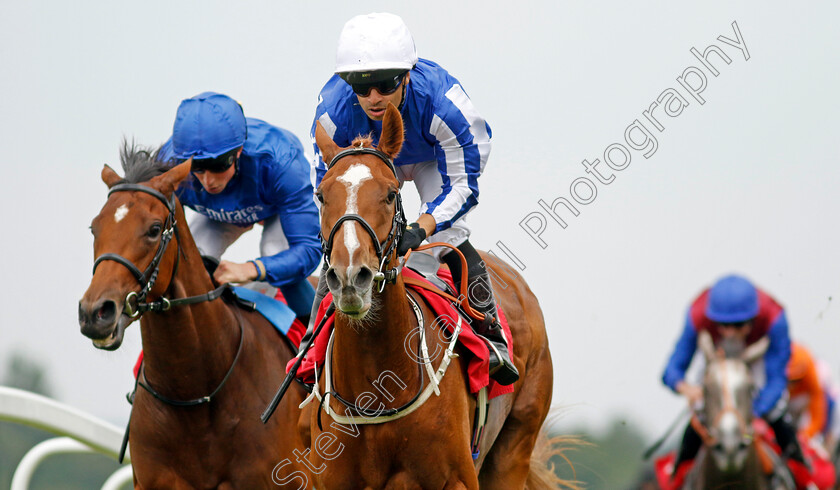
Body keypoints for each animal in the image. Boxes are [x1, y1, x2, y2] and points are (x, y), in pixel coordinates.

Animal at [302, 104, 564, 490]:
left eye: (390, 193)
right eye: (321, 195)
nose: (351, 276)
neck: (382, 384)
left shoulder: (458, 479)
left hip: (514, 447)